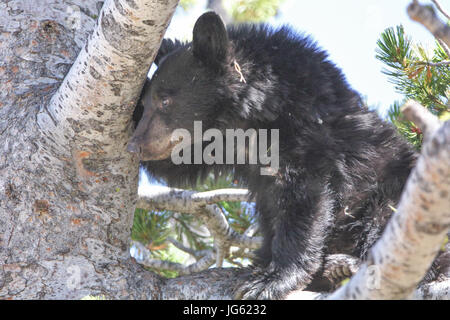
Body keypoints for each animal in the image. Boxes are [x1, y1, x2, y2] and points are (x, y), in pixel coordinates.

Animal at [127, 11, 426, 298]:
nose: (135, 145)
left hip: (393, 190)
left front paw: (272, 280)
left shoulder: (307, 135)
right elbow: (176, 166)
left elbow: (305, 202)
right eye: (148, 101)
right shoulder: (215, 145)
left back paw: (344, 266)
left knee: (387, 223)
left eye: (166, 101)